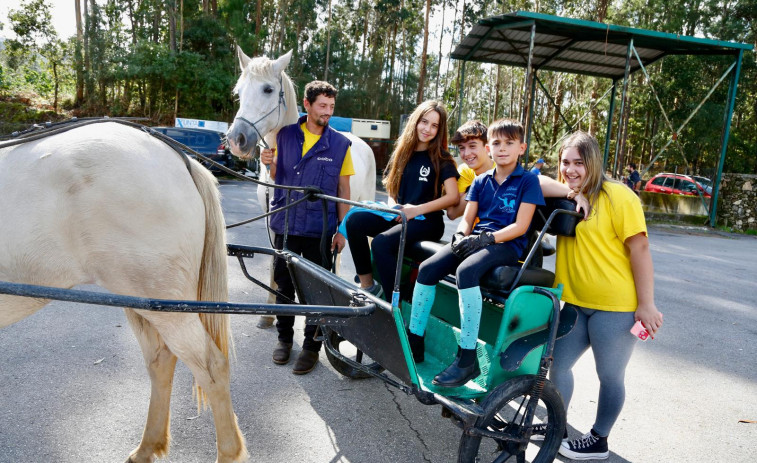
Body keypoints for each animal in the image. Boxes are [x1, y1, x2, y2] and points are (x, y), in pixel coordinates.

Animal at [0, 123, 247, 463]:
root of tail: (177, 156)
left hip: (167, 305)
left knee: (212, 367)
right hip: (141, 298)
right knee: (161, 360)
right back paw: (147, 447)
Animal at [226, 49, 376, 326]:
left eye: (268, 89)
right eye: (238, 91)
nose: (235, 140)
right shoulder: (273, 218)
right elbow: (276, 257)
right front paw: (269, 313)